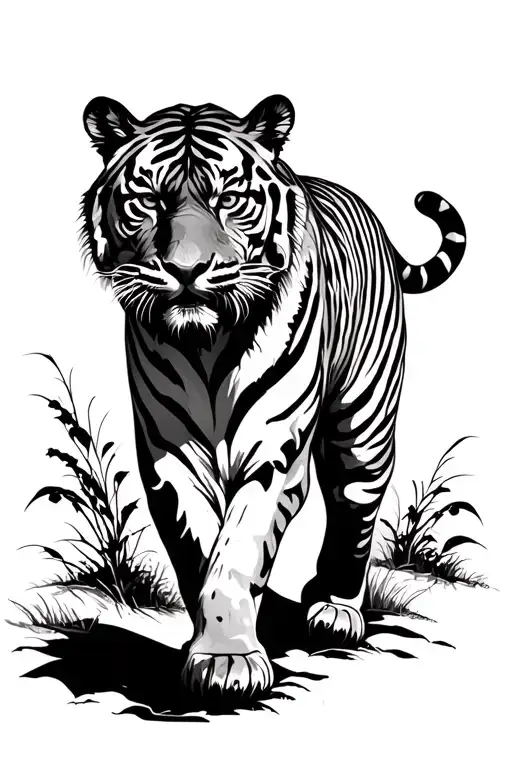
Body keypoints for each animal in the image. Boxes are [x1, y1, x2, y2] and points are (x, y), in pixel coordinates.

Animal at [81, 95, 466, 700]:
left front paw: (228, 661)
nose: (187, 269)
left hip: (364, 423)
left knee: (354, 508)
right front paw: (210, 646)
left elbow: (238, 548)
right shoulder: (169, 453)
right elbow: (198, 550)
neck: (207, 348)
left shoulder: (274, 451)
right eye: (148, 201)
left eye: (230, 199)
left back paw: (335, 608)